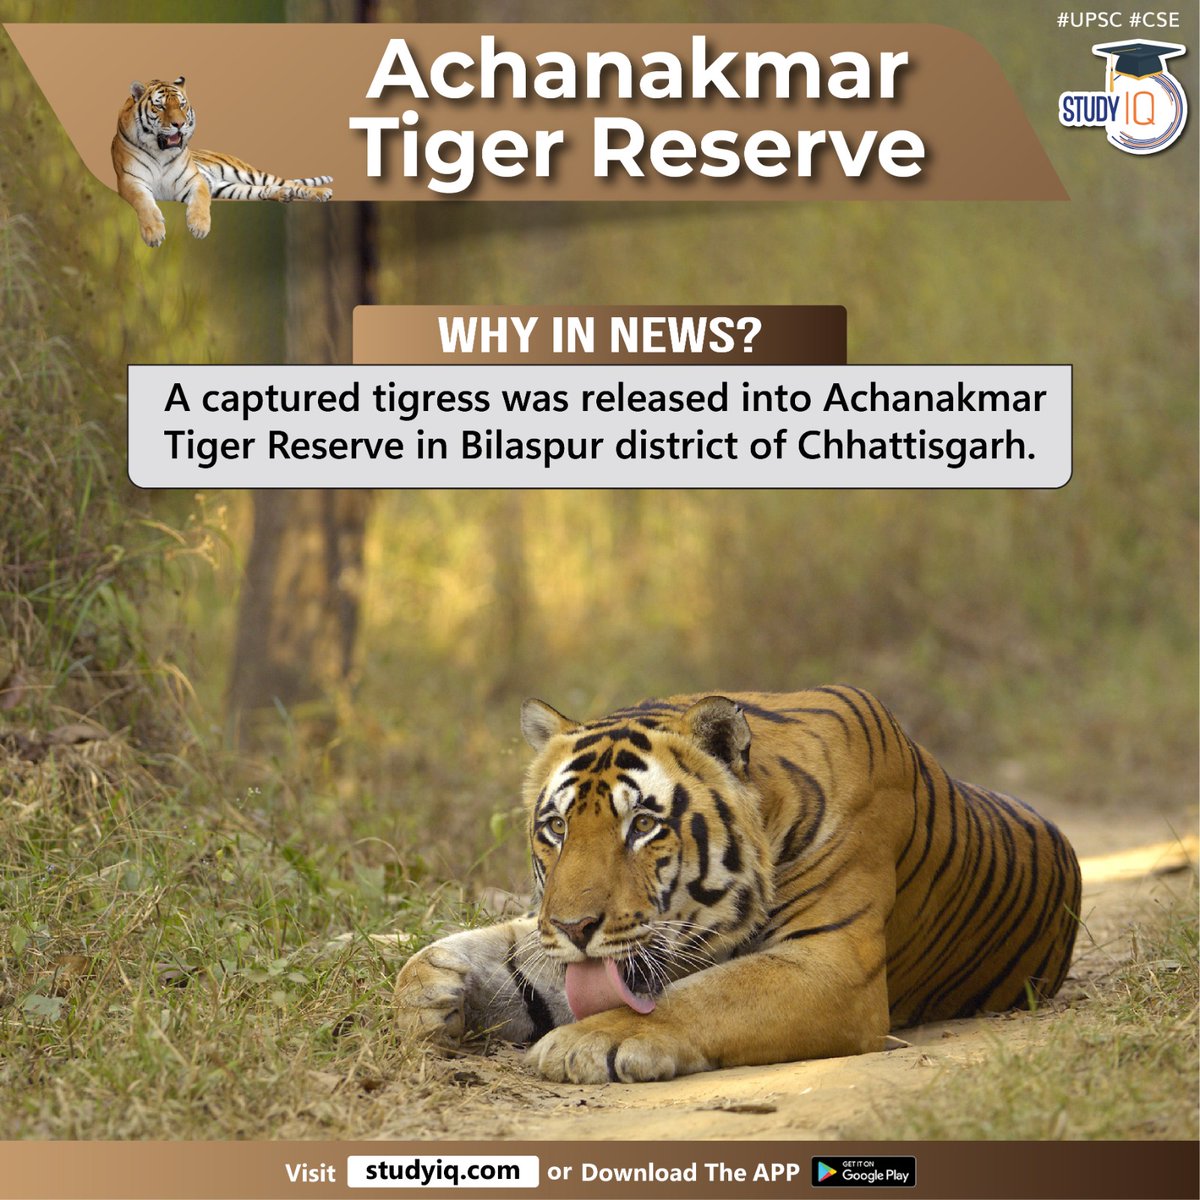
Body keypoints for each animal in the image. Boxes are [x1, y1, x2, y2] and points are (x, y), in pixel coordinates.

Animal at [112, 77, 333, 247]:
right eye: (160, 106)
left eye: (181, 104)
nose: (179, 124)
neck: (161, 153)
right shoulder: (131, 181)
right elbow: (145, 204)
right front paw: (154, 233)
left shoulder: (195, 180)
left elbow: (200, 201)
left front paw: (199, 226)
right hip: (228, 188)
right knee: (262, 190)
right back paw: (282, 194)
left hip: (248, 173)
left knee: (290, 183)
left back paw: (321, 193)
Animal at [394, 688, 1081, 1084]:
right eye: (557, 828)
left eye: (642, 825)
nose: (574, 927)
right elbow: (501, 953)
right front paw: (427, 993)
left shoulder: (831, 965)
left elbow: (704, 996)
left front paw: (587, 1042)